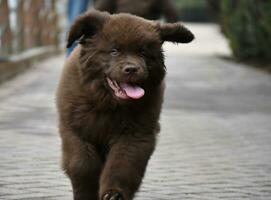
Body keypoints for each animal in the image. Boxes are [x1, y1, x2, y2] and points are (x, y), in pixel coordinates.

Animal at [56, 8, 193, 199]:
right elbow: (82, 165)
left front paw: (114, 193)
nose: (132, 69)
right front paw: (86, 192)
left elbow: (122, 166)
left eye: (143, 53)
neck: (108, 104)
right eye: (114, 51)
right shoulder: (75, 130)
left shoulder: (135, 135)